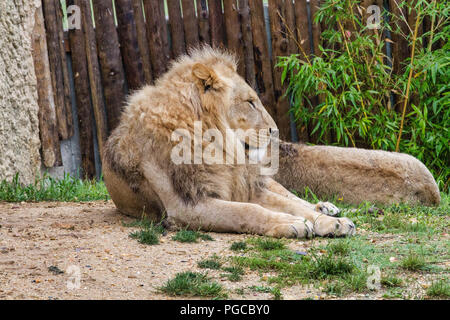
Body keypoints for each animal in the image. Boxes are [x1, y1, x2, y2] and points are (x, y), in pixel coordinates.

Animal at [103, 47, 356, 238]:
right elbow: (248, 211)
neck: (220, 148)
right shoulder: (186, 206)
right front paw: (290, 223)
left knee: (293, 196)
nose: (275, 131)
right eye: (250, 102)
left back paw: (327, 208)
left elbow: (292, 205)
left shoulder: (247, 187)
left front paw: (332, 223)